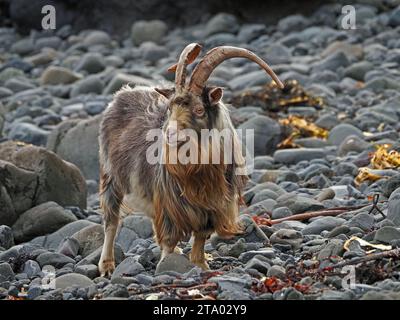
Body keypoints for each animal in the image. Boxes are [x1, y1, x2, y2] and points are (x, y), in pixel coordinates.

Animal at [98, 43, 282, 276]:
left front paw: (200, 263)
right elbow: (169, 236)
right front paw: (165, 265)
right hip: (110, 176)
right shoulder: (169, 201)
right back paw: (107, 266)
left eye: (199, 109)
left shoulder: (213, 206)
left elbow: (201, 236)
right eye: (170, 108)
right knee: (111, 222)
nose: (169, 134)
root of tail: (122, 94)